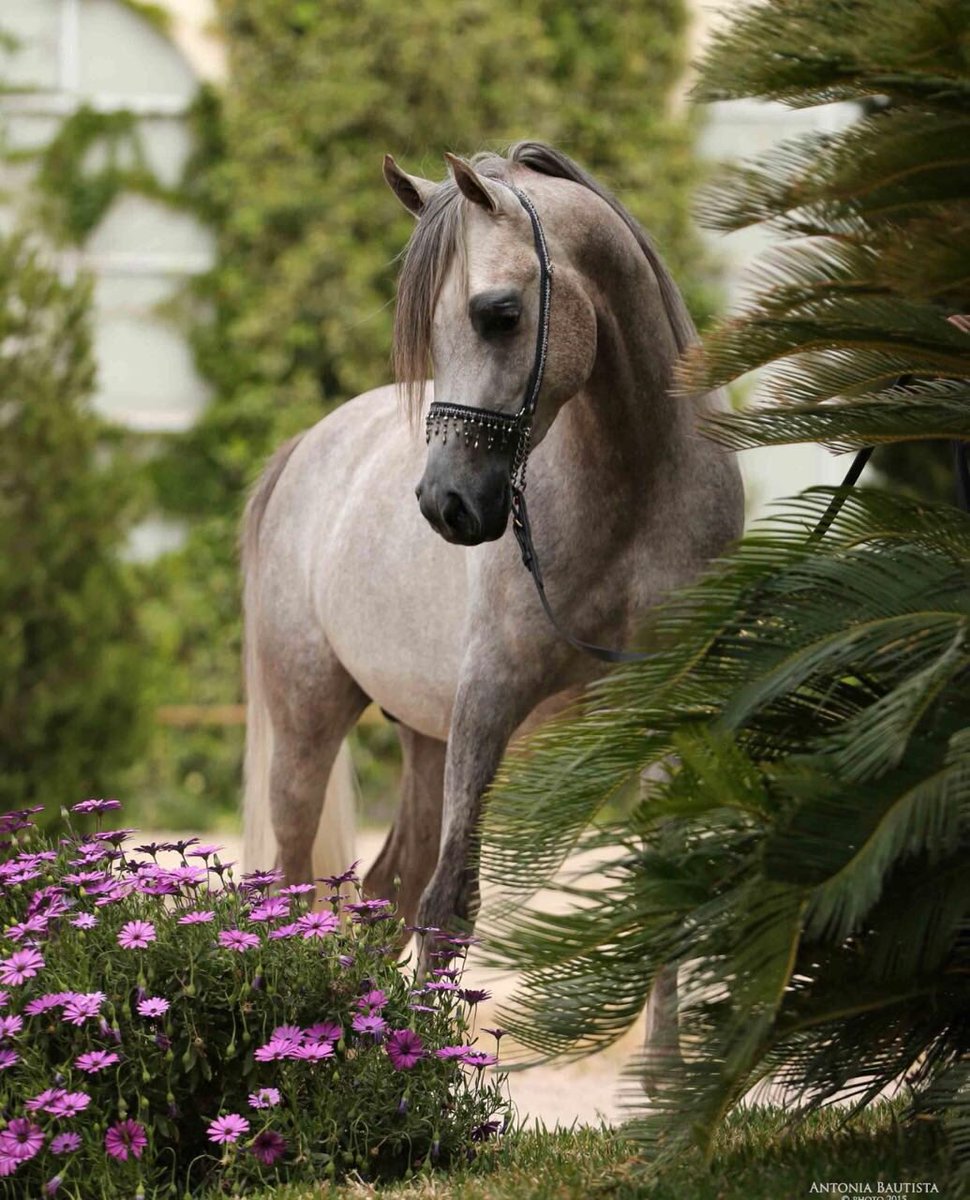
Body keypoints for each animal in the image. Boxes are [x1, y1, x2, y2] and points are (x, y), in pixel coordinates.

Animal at [240, 143, 744, 1047]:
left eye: (500, 314)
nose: (446, 504)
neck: (634, 489)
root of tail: (309, 447)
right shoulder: (490, 703)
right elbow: (451, 907)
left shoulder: (659, 708)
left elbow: (663, 887)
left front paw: (665, 1075)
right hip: (307, 727)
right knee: (296, 889)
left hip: (421, 738)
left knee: (382, 895)